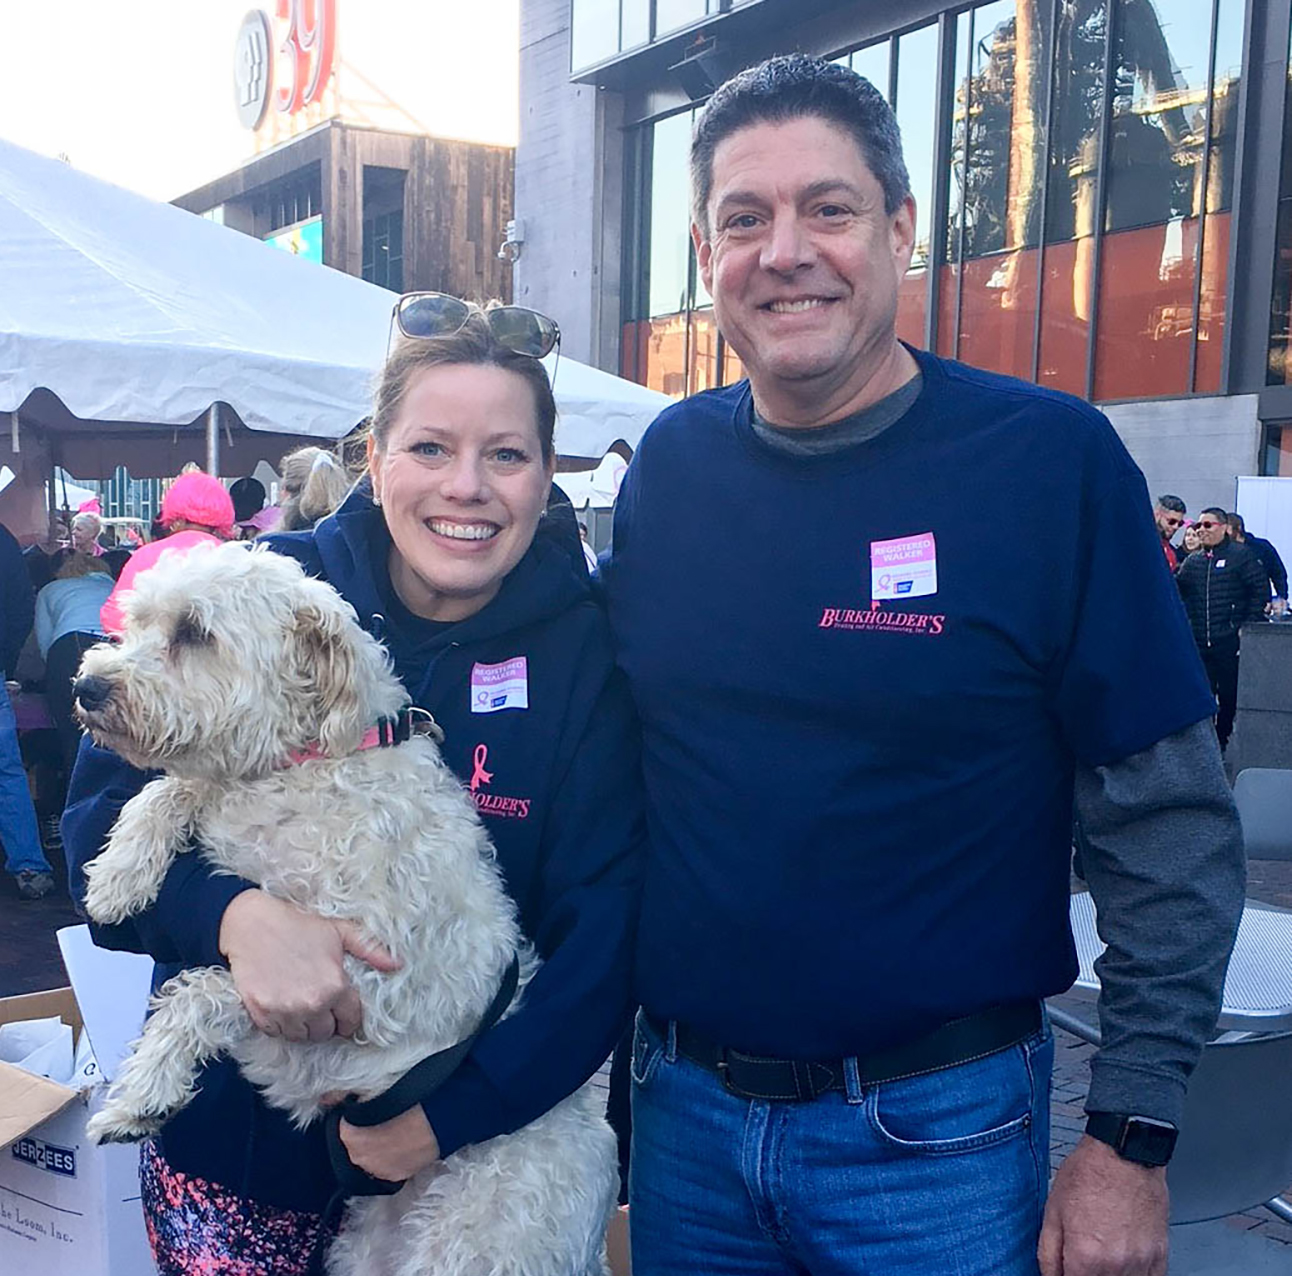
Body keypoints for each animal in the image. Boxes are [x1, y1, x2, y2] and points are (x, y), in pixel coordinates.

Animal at [73, 539, 617, 1276]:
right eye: (137, 622)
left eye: (195, 632)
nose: (87, 688)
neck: (310, 765)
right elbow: (172, 788)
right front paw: (118, 876)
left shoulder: (361, 982)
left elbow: (203, 991)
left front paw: (139, 1096)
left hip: (472, 1247)